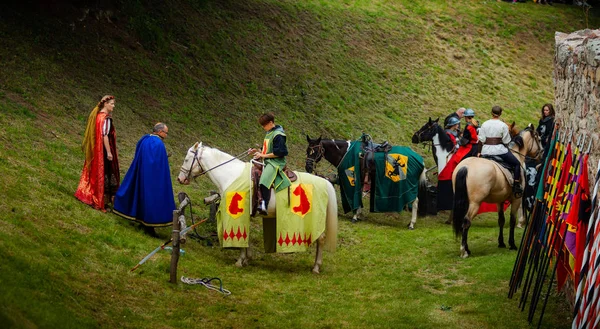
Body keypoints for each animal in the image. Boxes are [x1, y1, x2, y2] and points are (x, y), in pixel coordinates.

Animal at [177, 142, 338, 272]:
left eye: (186, 159)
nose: (180, 178)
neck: (232, 176)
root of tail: (324, 182)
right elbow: (246, 236)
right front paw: (247, 258)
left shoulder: (239, 215)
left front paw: (240, 260)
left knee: (321, 239)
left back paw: (316, 267)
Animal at [452, 124, 540, 258]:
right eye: (538, 139)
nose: (541, 154)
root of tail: (465, 167)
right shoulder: (517, 199)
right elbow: (512, 221)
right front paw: (512, 244)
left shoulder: (500, 201)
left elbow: (501, 221)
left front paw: (501, 243)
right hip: (475, 203)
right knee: (466, 222)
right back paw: (464, 251)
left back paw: (467, 249)